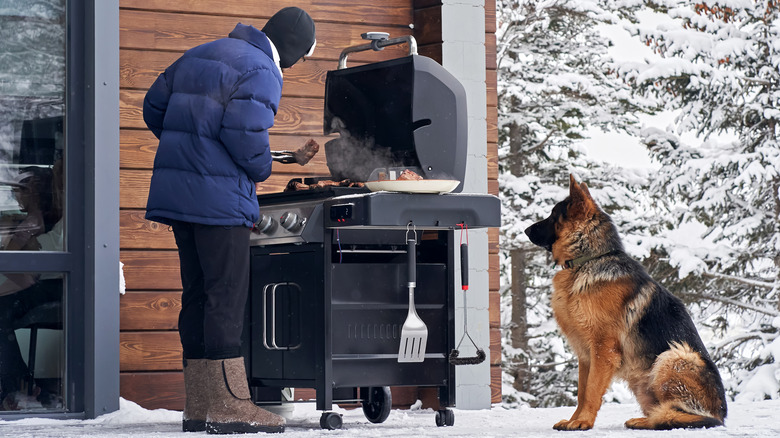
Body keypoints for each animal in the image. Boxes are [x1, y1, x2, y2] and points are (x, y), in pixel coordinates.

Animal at [520, 175, 728, 432]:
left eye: (552, 216)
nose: (526, 230)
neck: (588, 259)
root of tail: (721, 413)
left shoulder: (603, 349)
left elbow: (591, 390)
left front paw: (583, 422)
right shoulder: (585, 354)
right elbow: (582, 391)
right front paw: (574, 419)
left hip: (675, 356)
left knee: (686, 416)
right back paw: (644, 420)